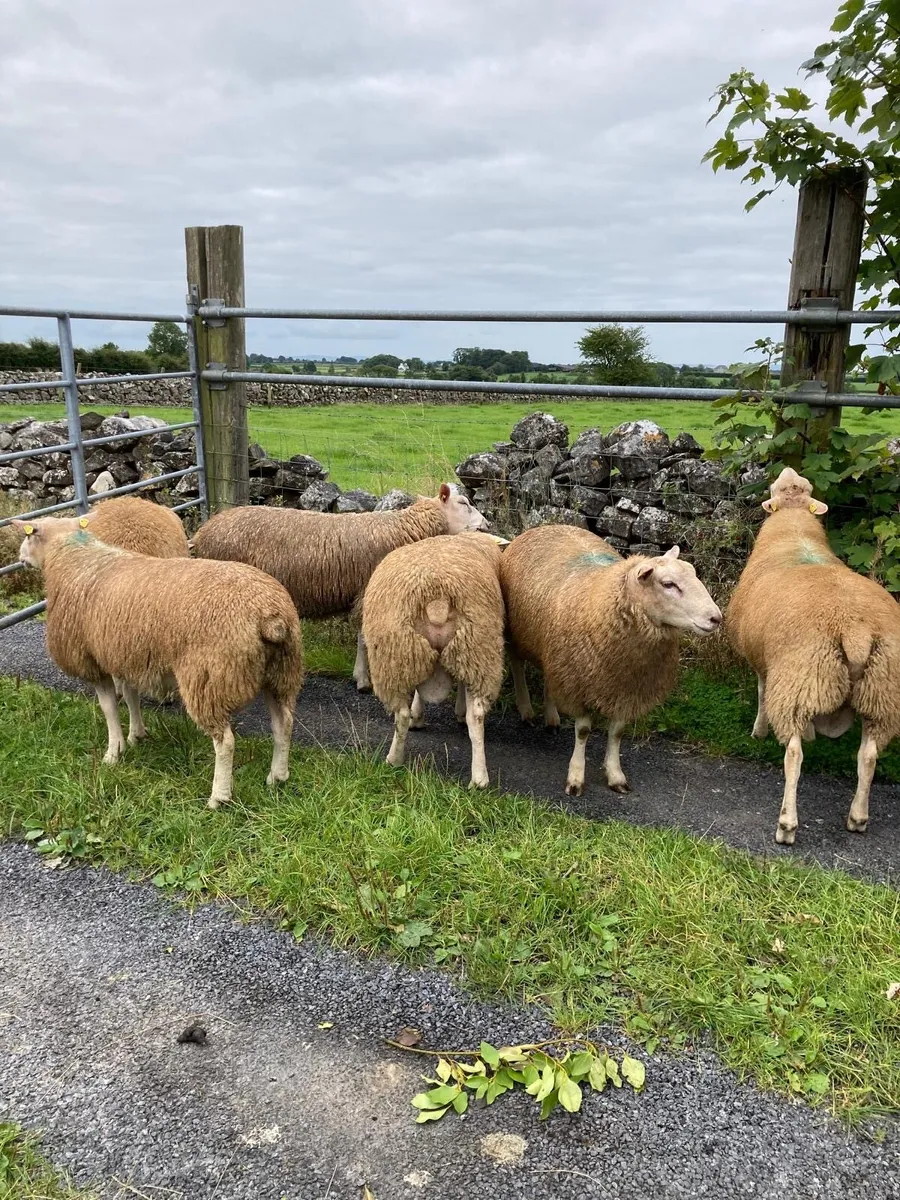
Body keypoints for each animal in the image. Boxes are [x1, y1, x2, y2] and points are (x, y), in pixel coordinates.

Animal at [14, 520, 304, 809]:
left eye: (28, 536)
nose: (20, 558)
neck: (71, 557)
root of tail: (270, 616)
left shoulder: (91, 661)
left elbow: (109, 709)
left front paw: (113, 753)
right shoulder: (126, 656)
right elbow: (131, 696)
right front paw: (136, 735)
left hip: (209, 677)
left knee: (226, 742)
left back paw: (218, 797)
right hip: (280, 673)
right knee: (283, 724)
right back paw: (277, 776)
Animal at [191, 483, 488, 692]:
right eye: (463, 503)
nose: (486, 525)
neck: (404, 530)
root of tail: (202, 532)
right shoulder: (367, 590)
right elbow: (365, 637)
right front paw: (363, 679)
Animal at [362, 532, 507, 787]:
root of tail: (437, 602)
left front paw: (418, 716)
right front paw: (457, 708)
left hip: (395, 656)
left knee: (400, 715)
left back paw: (393, 759)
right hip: (477, 649)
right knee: (477, 716)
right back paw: (479, 779)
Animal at [500, 525, 721, 796]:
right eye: (668, 584)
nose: (716, 618)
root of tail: (546, 526)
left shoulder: (625, 688)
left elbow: (617, 733)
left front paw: (615, 775)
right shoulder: (580, 684)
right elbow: (583, 731)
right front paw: (576, 777)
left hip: (554, 651)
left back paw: (551, 718)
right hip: (517, 632)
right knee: (517, 665)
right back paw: (526, 710)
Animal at [725, 466, 900, 845]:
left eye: (775, 487)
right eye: (791, 485)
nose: (789, 470)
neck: (793, 527)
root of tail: (855, 632)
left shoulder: (765, 663)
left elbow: (761, 693)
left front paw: (758, 731)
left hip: (800, 678)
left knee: (794, 754)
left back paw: (786, 825)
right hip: (880, 692)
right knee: (868, 755)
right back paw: (857, 817)